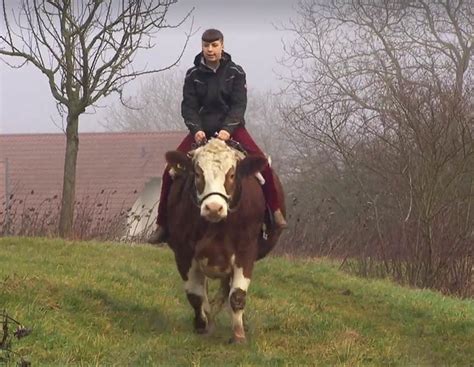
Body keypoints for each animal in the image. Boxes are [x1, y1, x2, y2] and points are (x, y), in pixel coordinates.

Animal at [166, 139, 286, 344]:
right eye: (198, 173)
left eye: (231, 175)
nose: (214, 208)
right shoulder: (183, 253)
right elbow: (195, 295)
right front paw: (202, 326)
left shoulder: (246, 251)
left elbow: (237, 295)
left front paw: (238, 335)